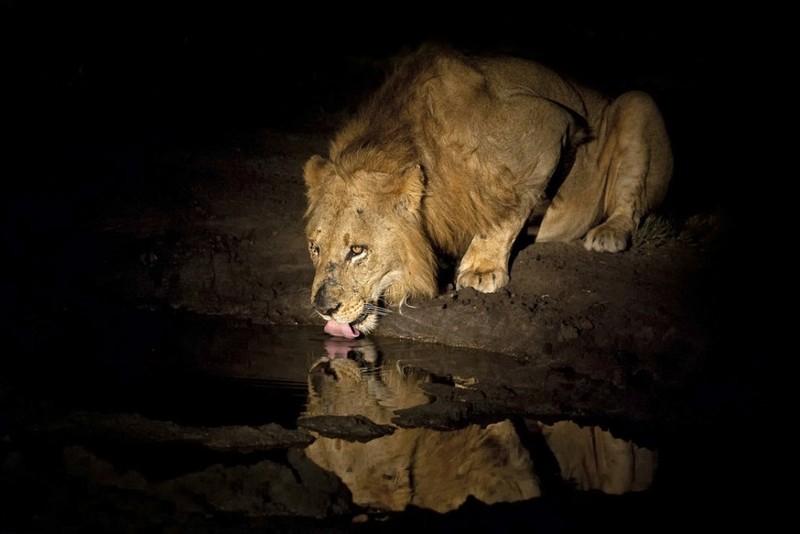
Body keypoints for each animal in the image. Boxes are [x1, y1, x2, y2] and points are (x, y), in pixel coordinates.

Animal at [304, 44, 672, 338]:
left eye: (357, 250)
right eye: (314, 248)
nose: (323, 308)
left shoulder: (549, 125)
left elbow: (507, 207)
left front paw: (481, 270)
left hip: (636, 104)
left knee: (630, 203)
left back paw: (609, 233)